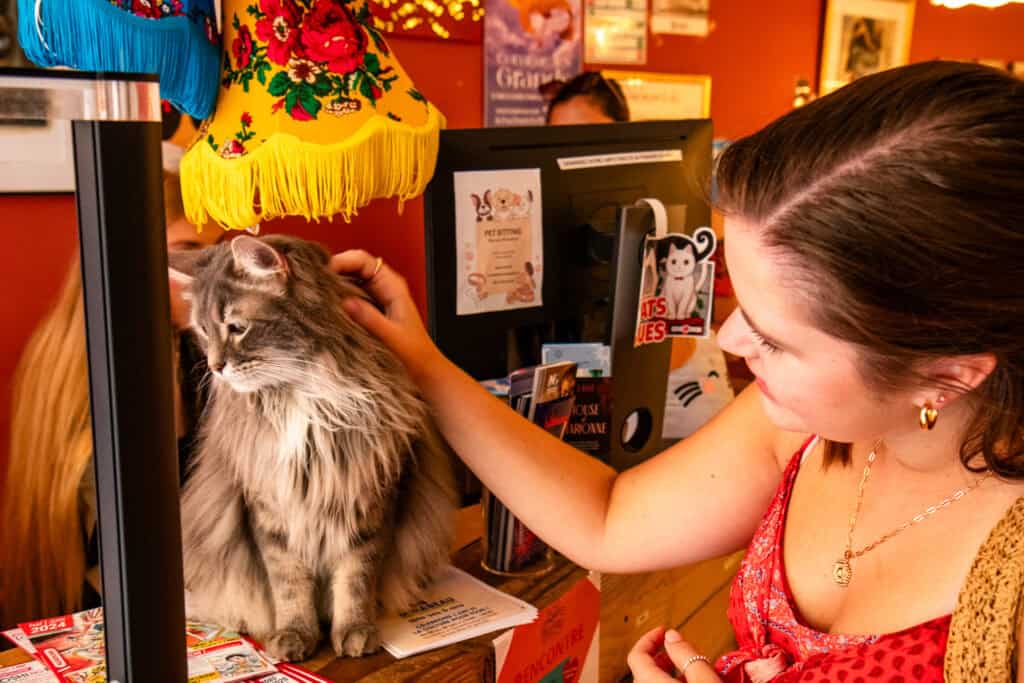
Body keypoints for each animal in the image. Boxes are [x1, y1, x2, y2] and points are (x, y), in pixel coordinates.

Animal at [172, 236, 456, 663]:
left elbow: (356, 578)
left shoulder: (369, 502)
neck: (302, 396)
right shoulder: (270, 512)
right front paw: (295, 635)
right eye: (203, 333)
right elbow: (290, 585)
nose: (215, 365)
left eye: (237, 328)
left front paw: (355, 631)